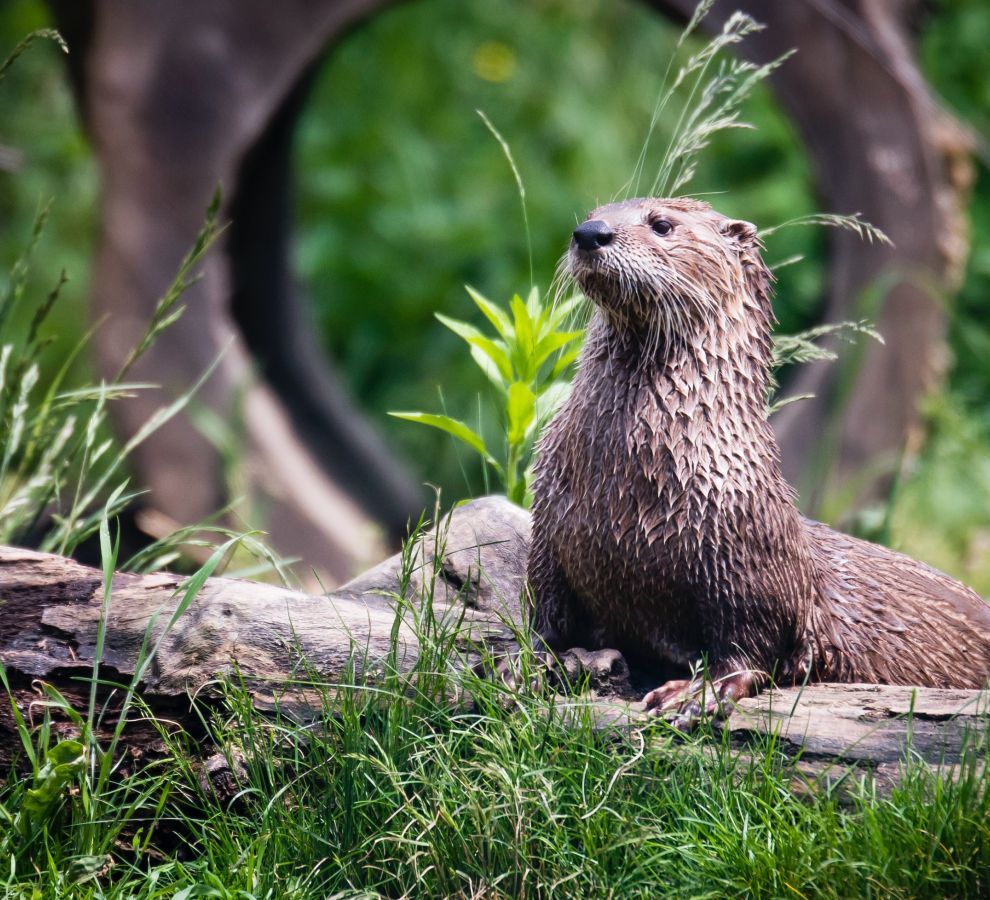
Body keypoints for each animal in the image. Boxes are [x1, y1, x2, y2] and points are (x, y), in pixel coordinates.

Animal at [529, 197, 990, 718]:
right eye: (593, 212)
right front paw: (526, 661)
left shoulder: (747, 557)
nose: (590, 233)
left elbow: (751, 643)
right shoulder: (548, 526)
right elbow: (545, 612)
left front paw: (697, 692)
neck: (626, 483)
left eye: (662, 225)